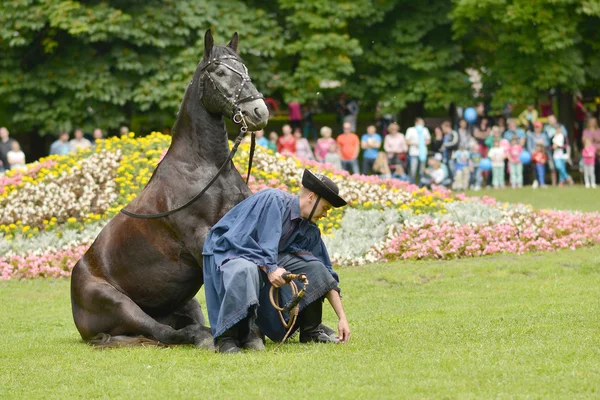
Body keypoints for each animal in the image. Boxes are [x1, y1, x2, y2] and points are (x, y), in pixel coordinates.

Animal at [69, 30, 268, 346]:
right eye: (220, 72)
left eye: (245, 69)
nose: (259, 111)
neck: (206, 168)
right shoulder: (199, 238)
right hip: (119, 303)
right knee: (163, 331)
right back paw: (201, 336)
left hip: (185, 302)